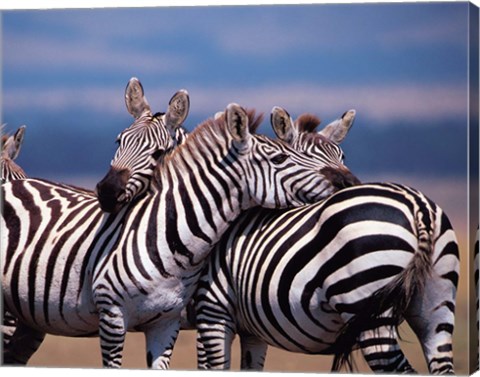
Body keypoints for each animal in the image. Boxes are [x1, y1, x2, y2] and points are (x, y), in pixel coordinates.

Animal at [195, 108, 462, 374]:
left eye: (342, 156)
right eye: (301, 157)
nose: (350, 183)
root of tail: (419, 207)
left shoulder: (213, 309)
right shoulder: (248, 327)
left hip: (368, 309)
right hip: (436, 303)